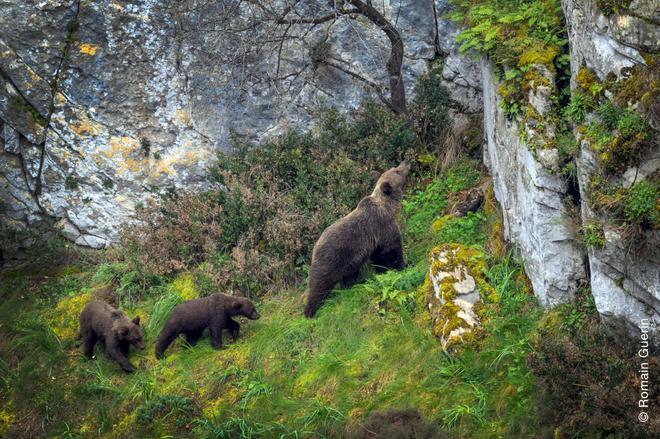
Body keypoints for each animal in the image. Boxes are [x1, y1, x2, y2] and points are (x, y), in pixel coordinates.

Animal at [304, 161, 410, 318]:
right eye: (396, 171)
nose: (405, 162)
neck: (388, 207)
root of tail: (314, 247)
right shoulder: (383, 227)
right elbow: (393, 250)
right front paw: (403, 265)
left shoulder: (375, 241)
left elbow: (379, 258)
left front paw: (383, 271)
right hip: (332, 258)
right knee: (319, 284)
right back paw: (310, 311)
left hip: (348, 262)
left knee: (347, 277)